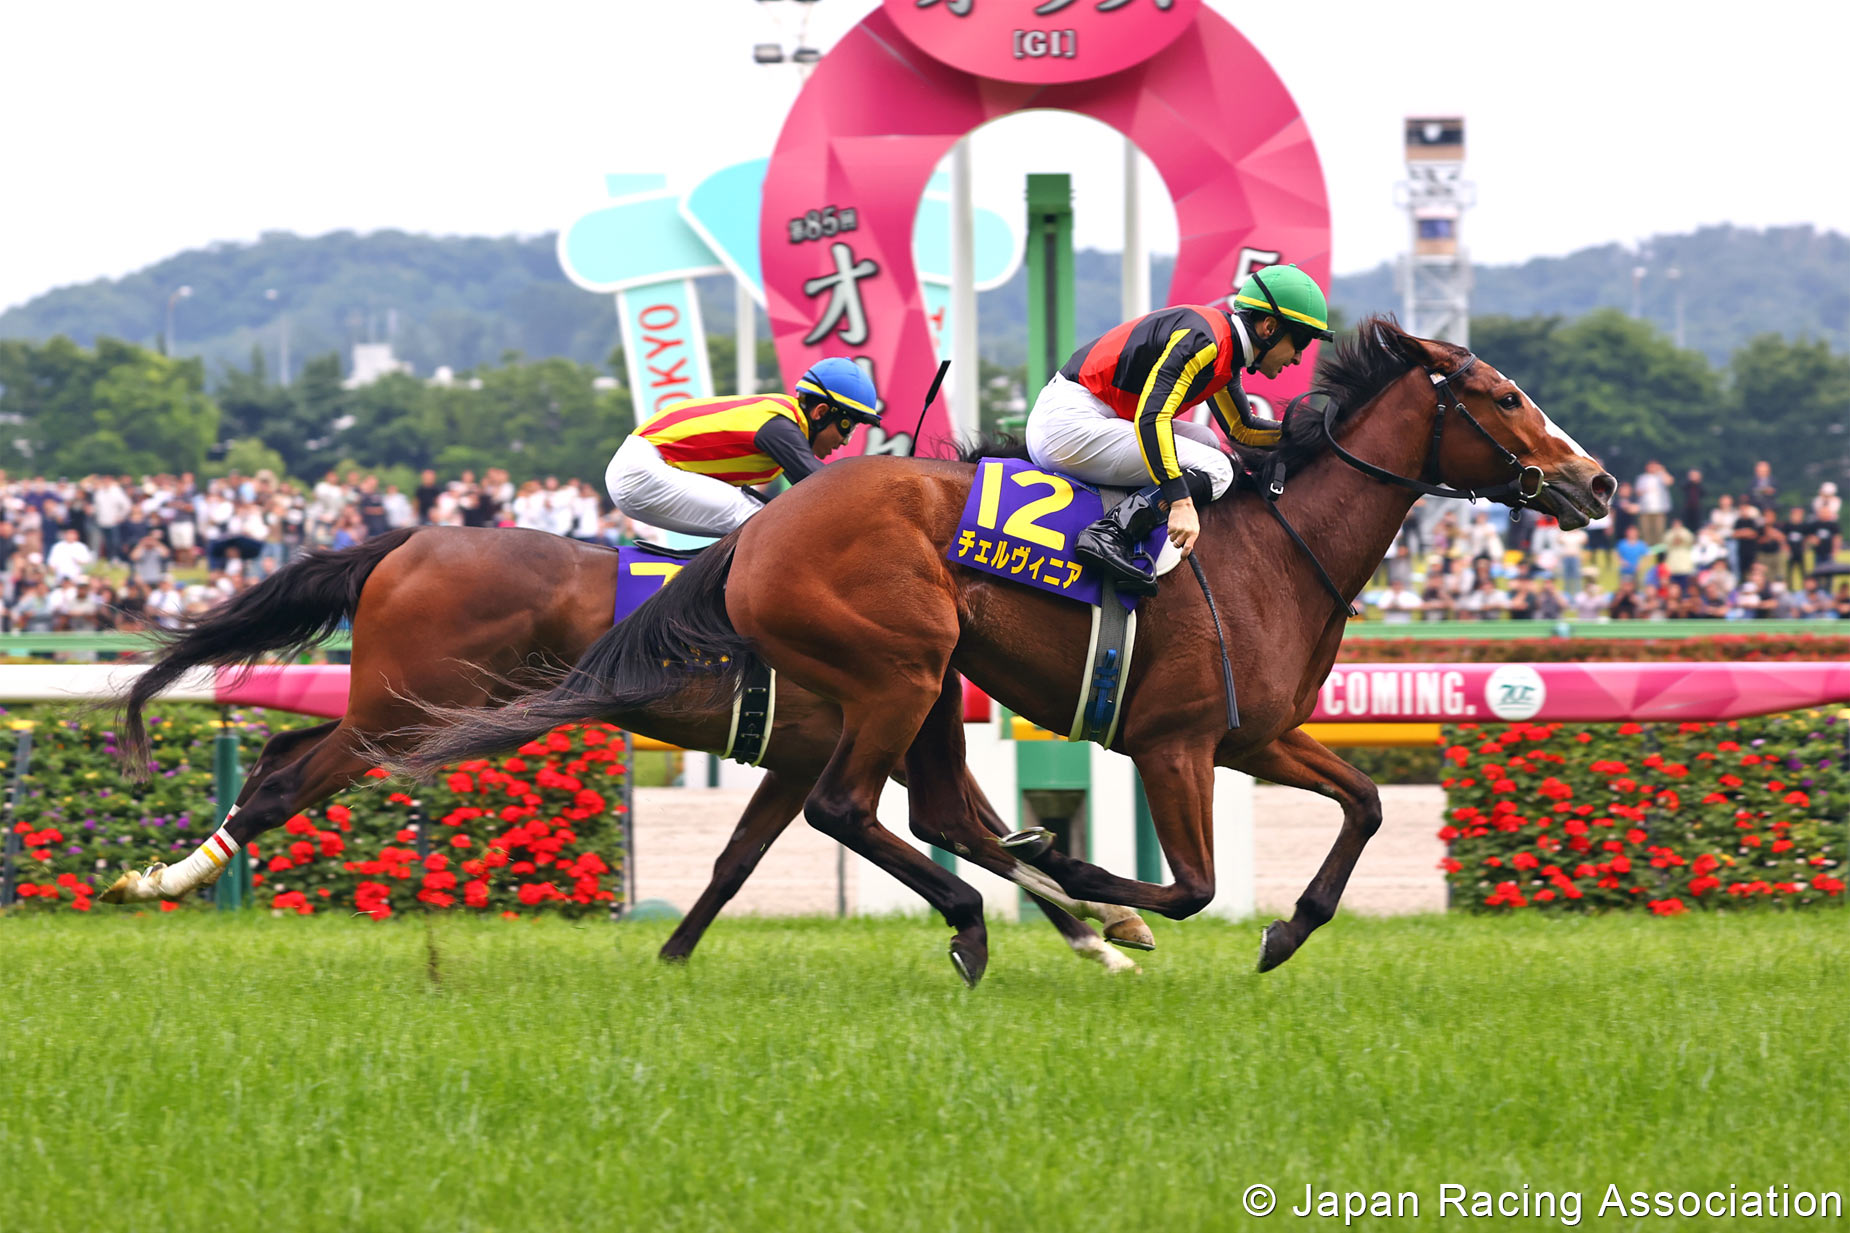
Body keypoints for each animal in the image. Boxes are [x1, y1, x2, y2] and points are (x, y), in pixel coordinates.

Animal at [397, 318, 1613, 977]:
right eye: (1505, 394)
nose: (1596, 483)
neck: (1280, 551)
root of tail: (758, 533)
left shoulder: (1254, 736)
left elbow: (1361, 805)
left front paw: (1284, 932)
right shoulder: (1172, 742)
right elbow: (1192, 885)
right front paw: (1089, 882)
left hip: (929, 681)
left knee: (917, 811)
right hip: (900, 666)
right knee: (850, 808)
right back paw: (986, 920)